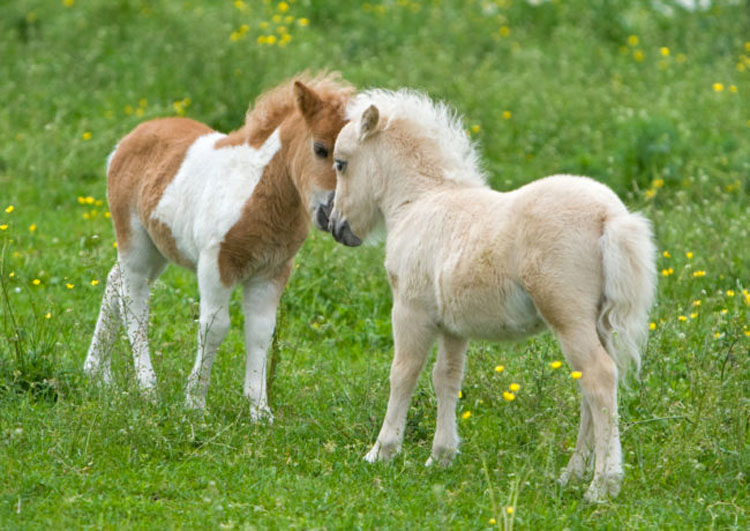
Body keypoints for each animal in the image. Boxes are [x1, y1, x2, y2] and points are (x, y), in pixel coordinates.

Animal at [83, 74, 354, 420]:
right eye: (320, 149)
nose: (332, 215)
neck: (258, 191)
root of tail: (127, 140)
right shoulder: (216, 264)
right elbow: (215, 327)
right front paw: (195, 403)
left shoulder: (272, 272)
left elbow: (261, 332)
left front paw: (260, 412)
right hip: (135, 242)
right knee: (134, 301)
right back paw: (147, 388)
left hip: (159, 248)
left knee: (114, 281)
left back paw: (96, 373)